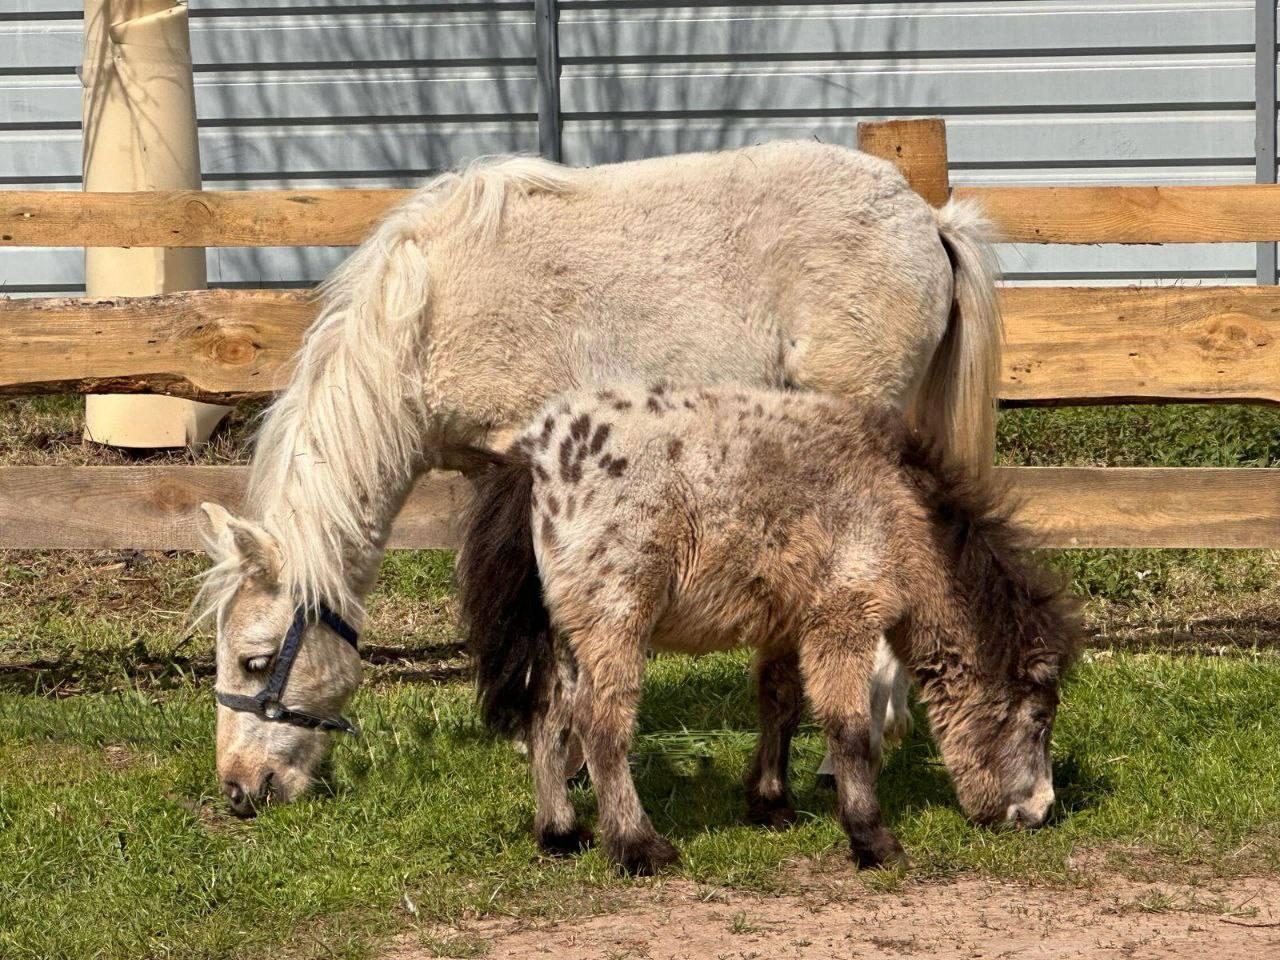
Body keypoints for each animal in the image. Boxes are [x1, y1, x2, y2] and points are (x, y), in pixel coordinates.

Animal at [456, 384, 1079, 874]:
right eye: (1040, 720)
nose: (1040, 812)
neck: (899, 509)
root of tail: (535, 457)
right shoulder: (842, 621)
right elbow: (849, 729)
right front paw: (872, 840)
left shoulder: (787, 624)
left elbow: (780, 705)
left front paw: (771, 803)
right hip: (615, 619)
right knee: (599, 725)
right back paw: (638, 847)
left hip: (565, 629)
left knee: (547, 712)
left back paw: (560, 833)